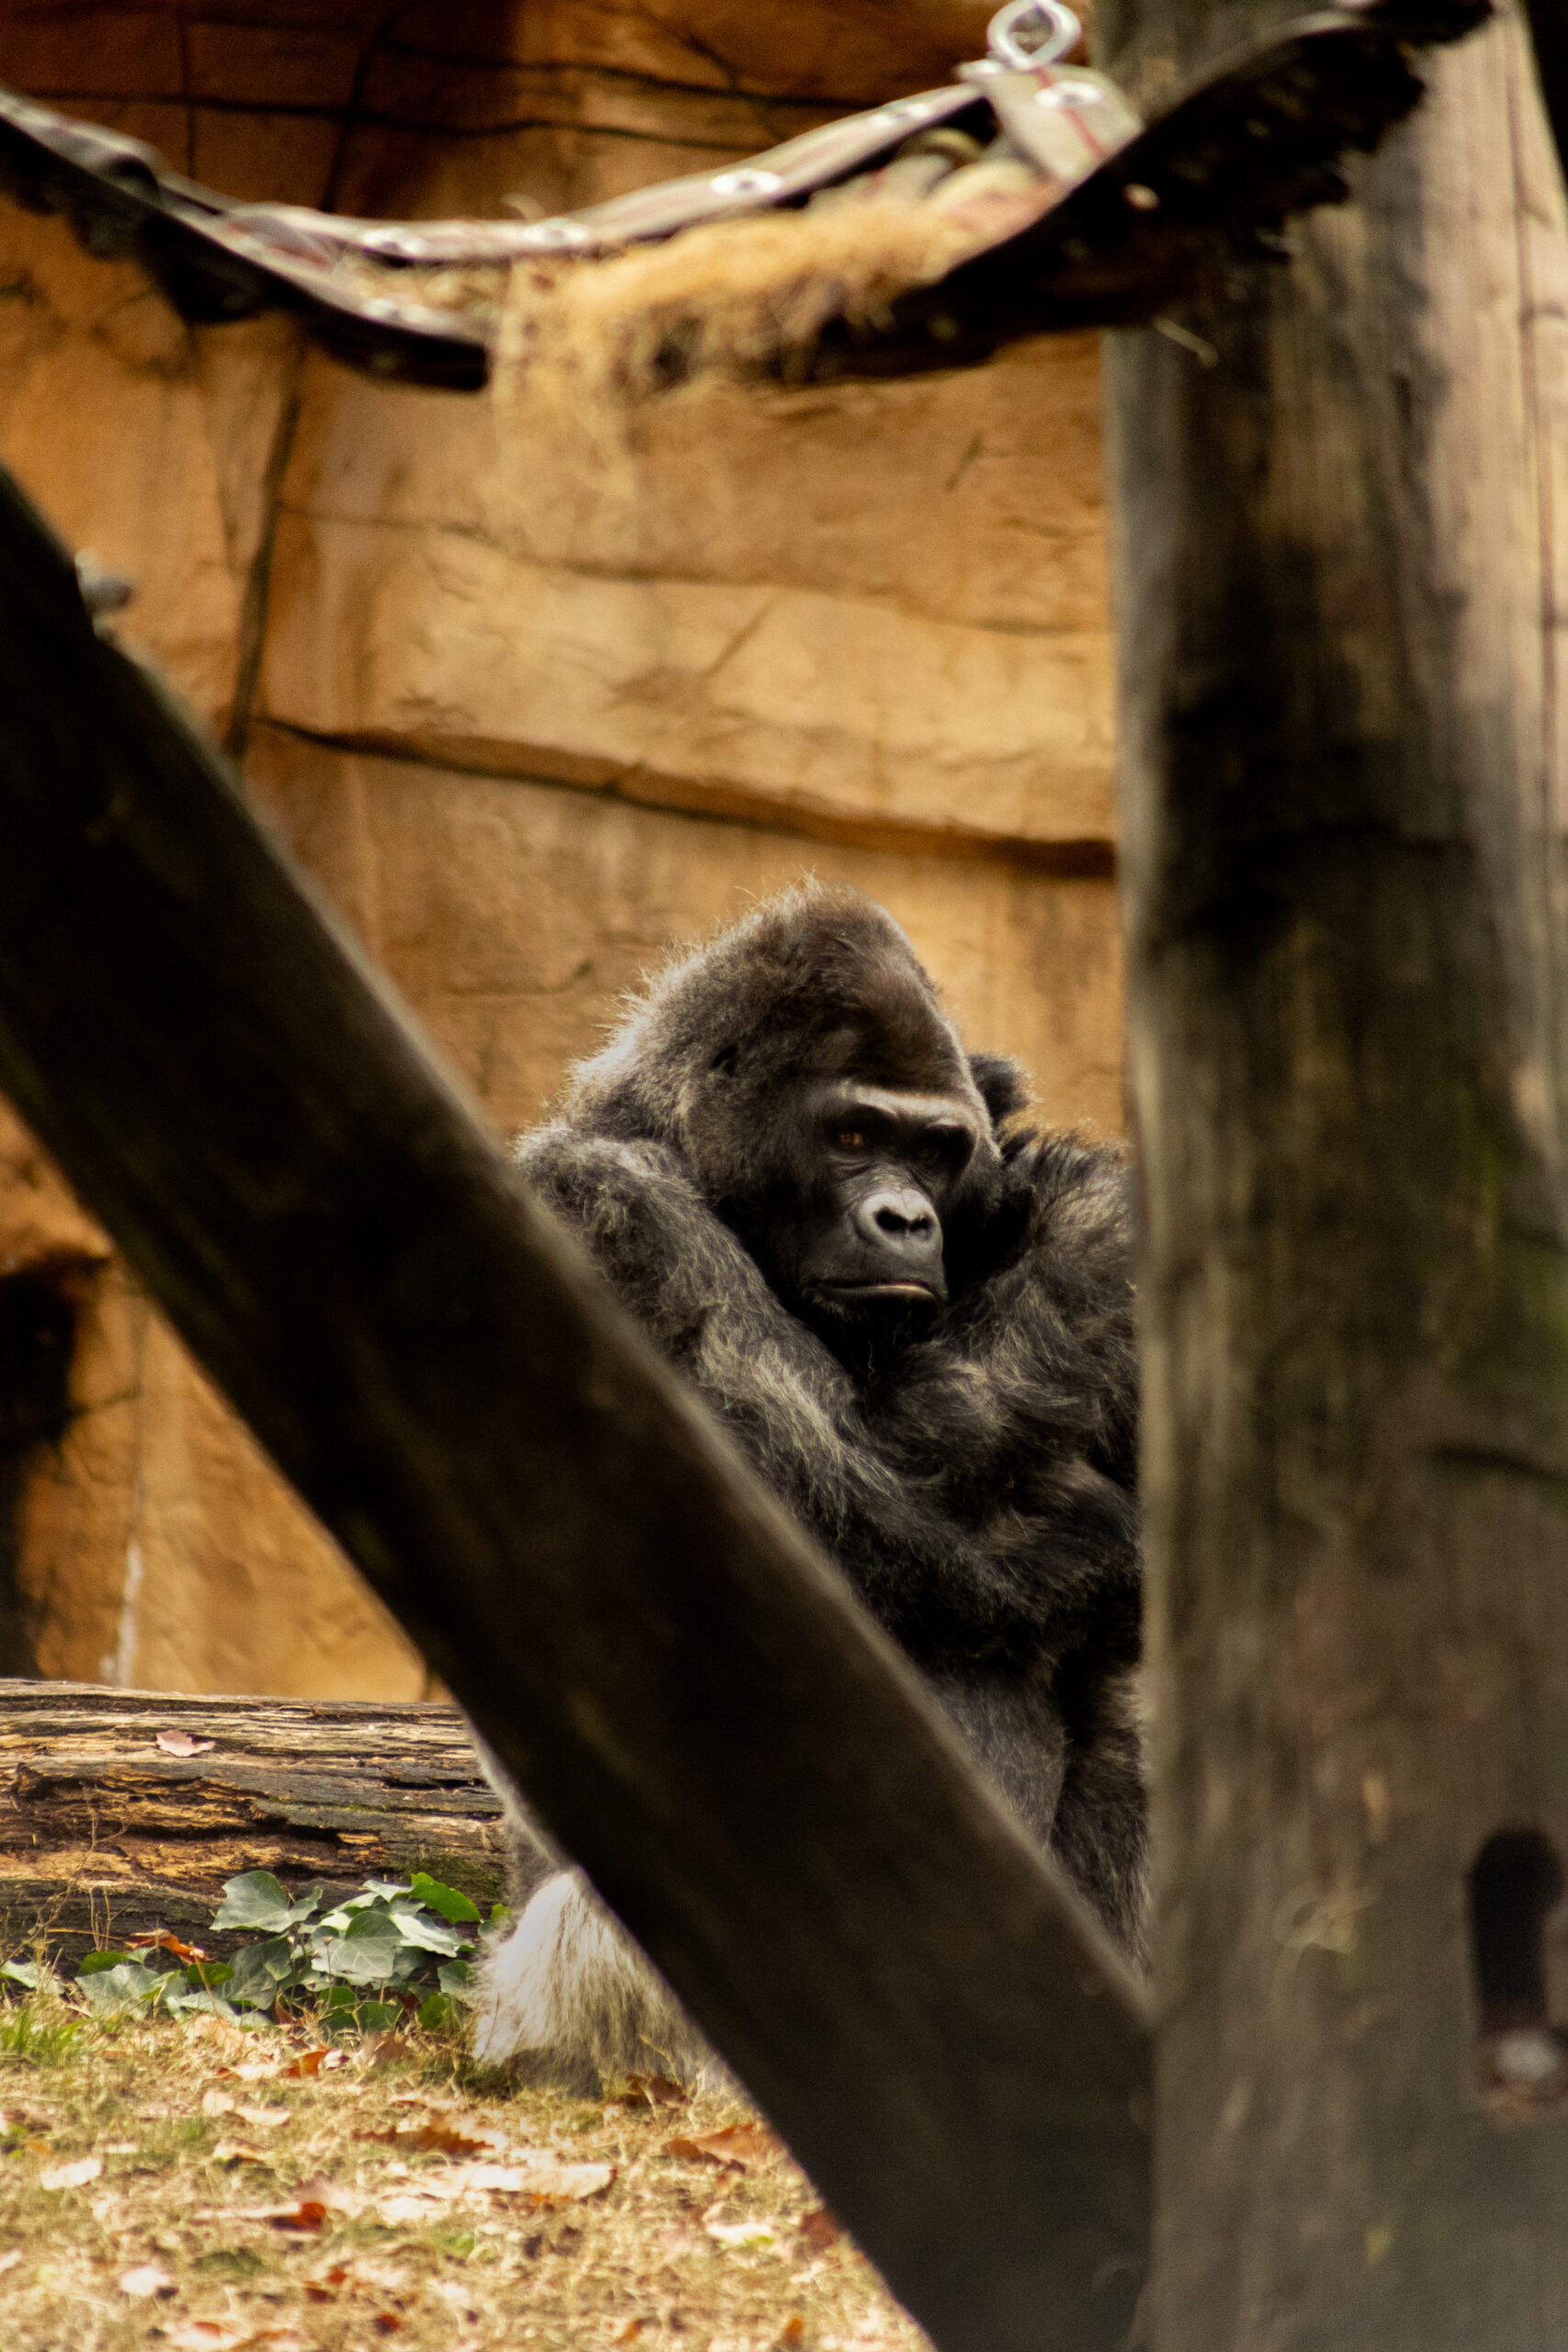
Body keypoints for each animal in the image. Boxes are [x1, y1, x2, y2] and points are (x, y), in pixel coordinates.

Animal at [470, 885, 1141, 2089]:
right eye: (854, 1135)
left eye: (936, 1147)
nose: (909, 1219)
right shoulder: (607, 1211)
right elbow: (825, 1520)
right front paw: (1097, 1225)